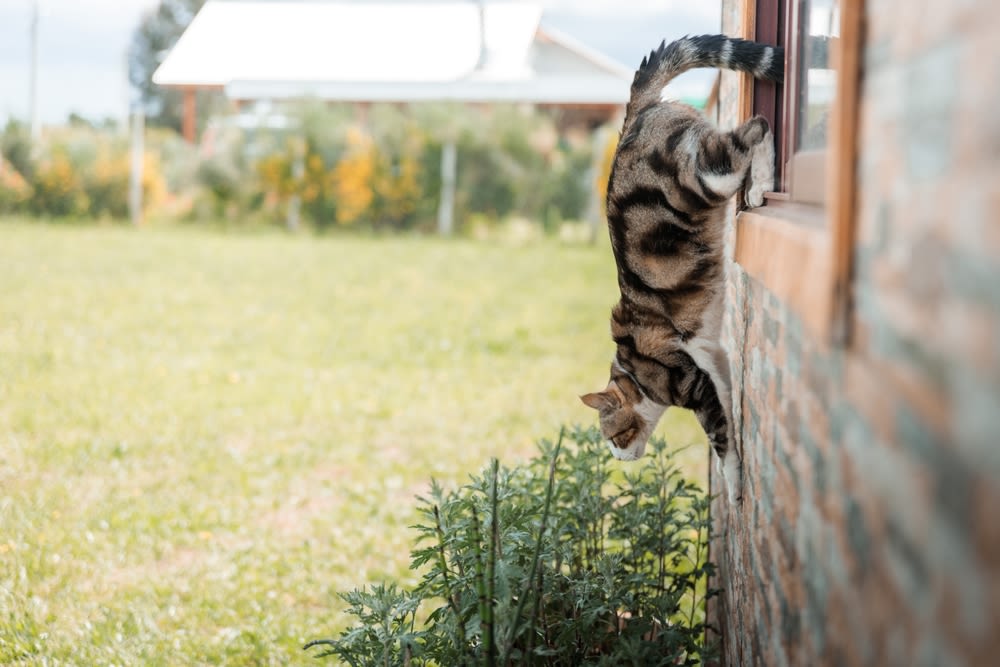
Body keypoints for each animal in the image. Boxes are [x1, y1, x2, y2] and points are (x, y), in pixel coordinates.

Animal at [584, 32, 784, 500]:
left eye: (612, 437)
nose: (619, 459)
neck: (635, 373)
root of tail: (634, 113)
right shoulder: (716, 365)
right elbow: (729, 421)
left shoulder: (693, 385)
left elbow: (720, 442)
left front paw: (735, 486)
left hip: (707, 176)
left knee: (758, 125)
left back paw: (761, 187)